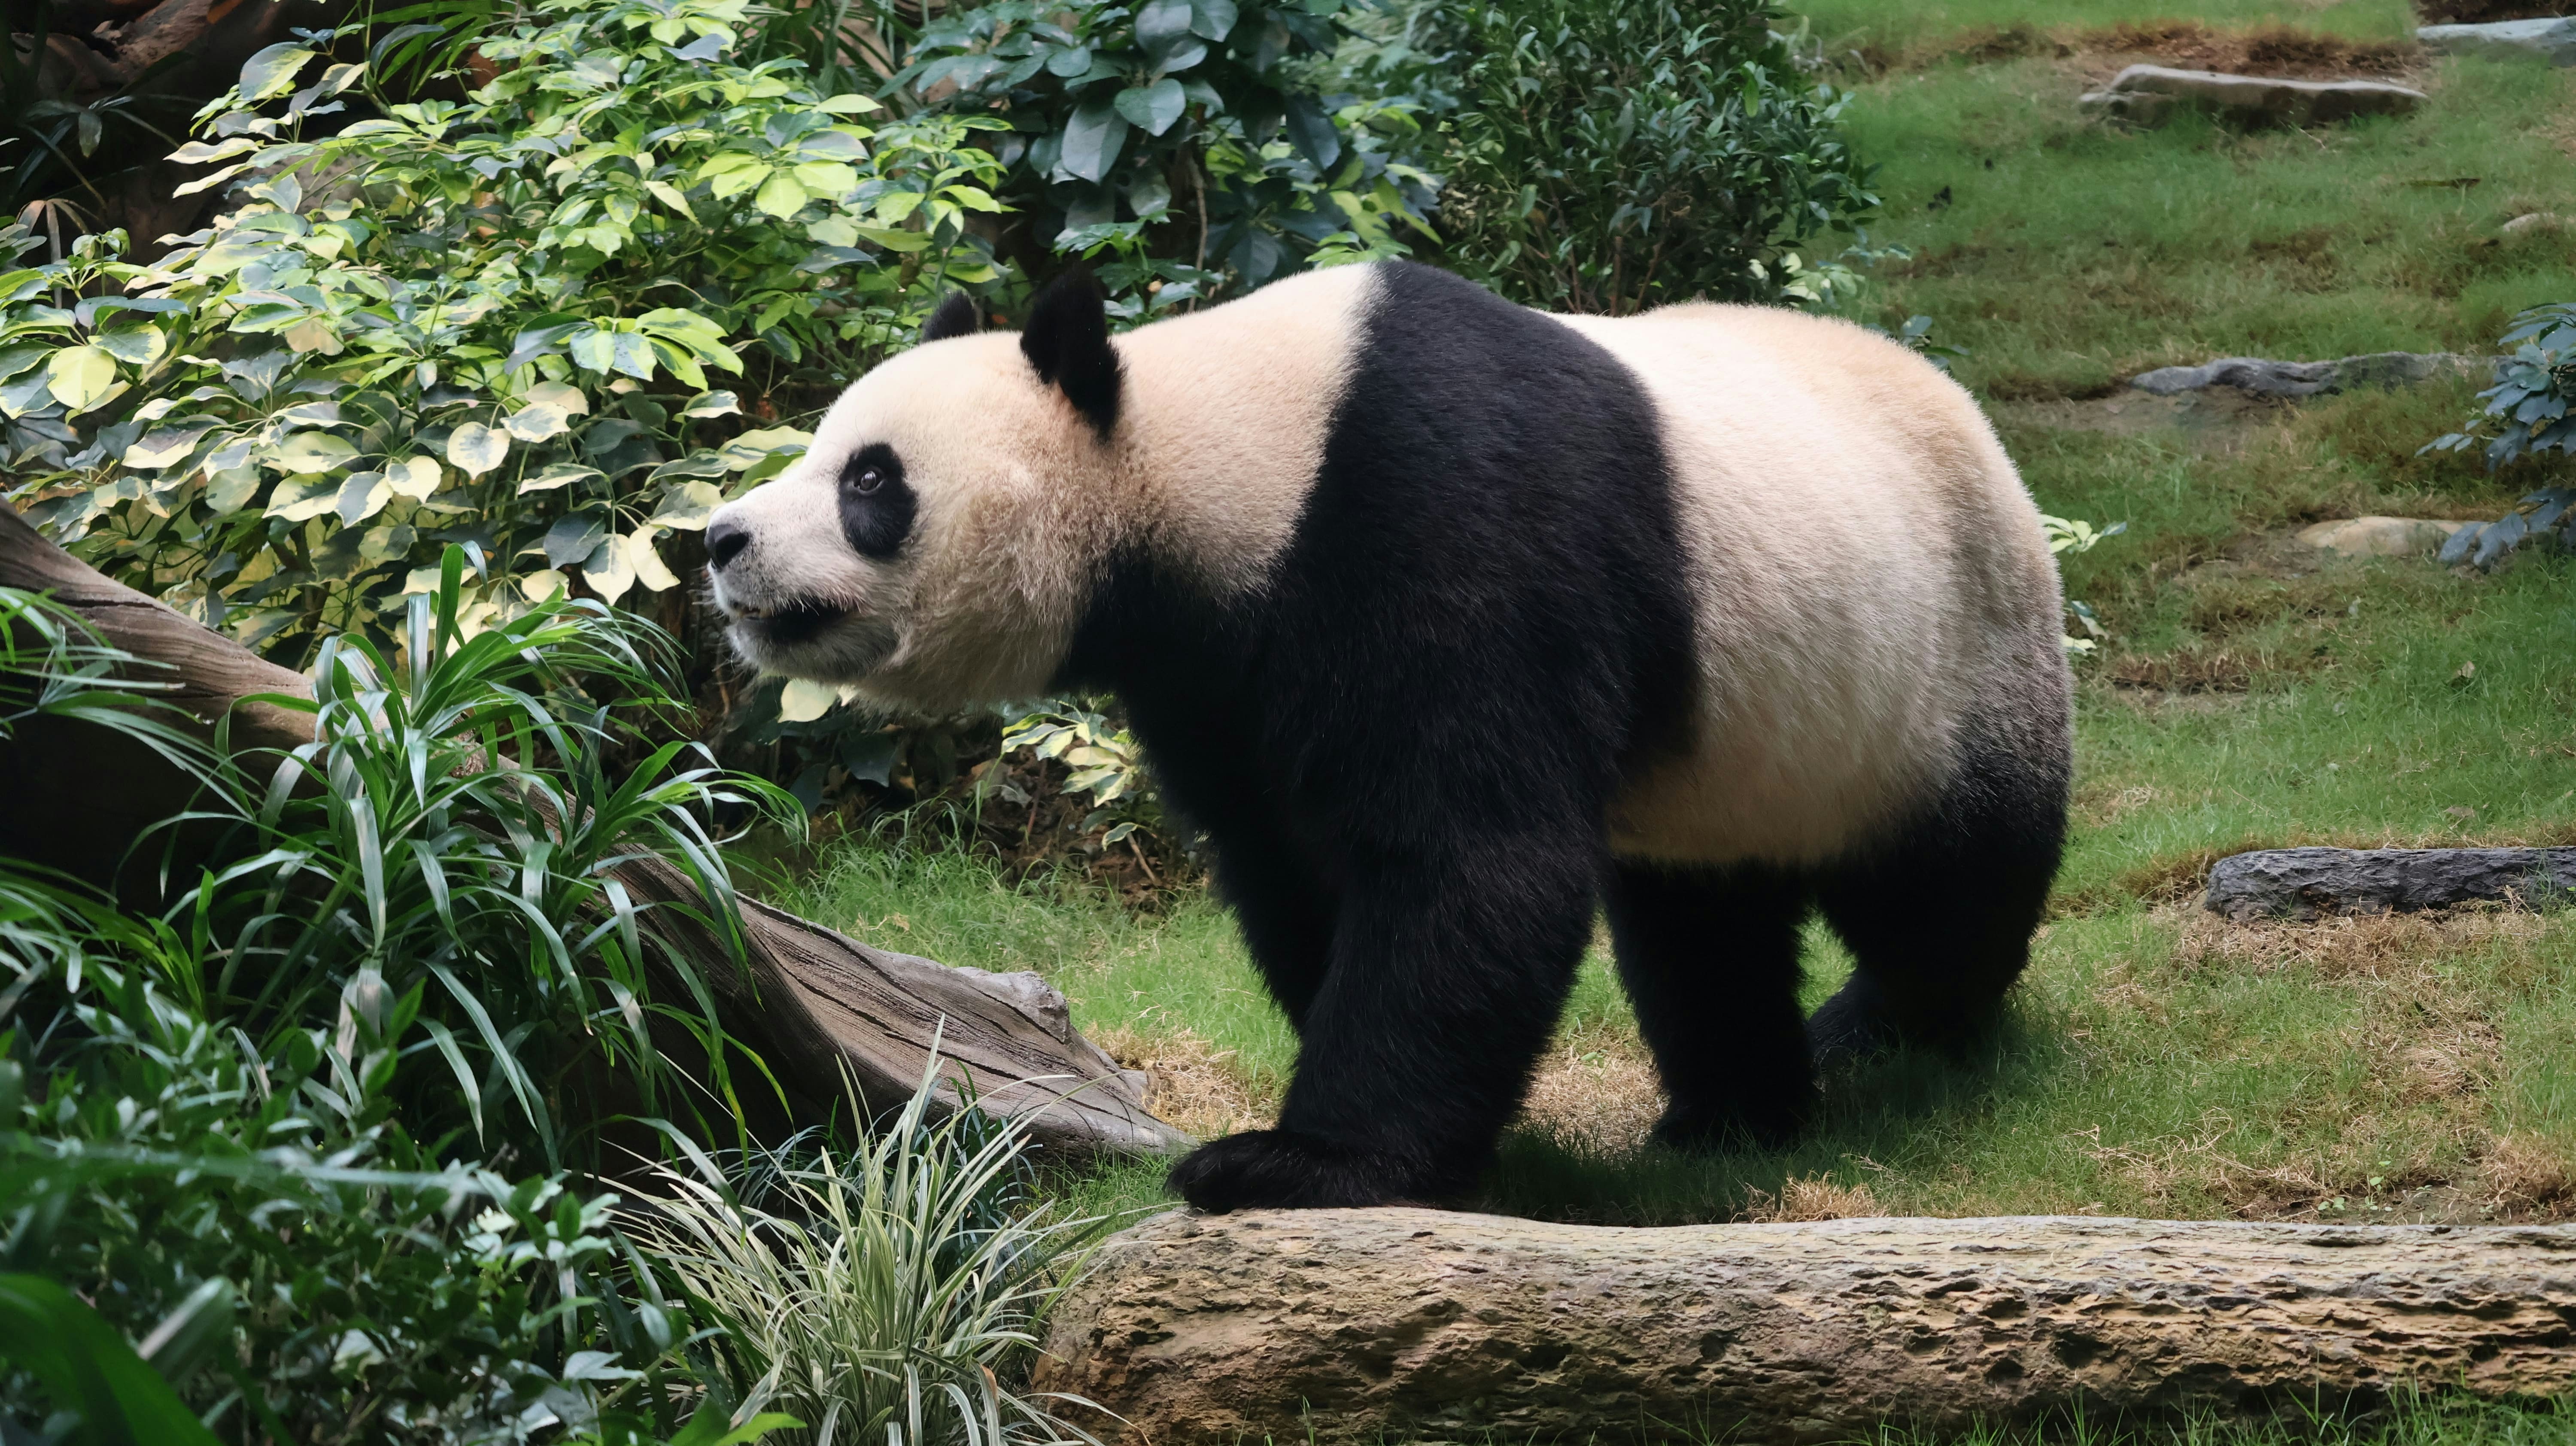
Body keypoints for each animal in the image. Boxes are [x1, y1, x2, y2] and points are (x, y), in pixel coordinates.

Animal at [706, 259, 2071, 1206]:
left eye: (870, 481)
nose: (721, 540)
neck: (1222, 458)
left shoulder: (1449, 520)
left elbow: (1467, 857)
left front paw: (1292, 1167)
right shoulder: (1220, 672)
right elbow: (1291, 866)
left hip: (1935, 662)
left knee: (1943, 884)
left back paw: (1896, 1025)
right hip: (1734, 746)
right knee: (1701, 918)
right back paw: (1733, 1114)